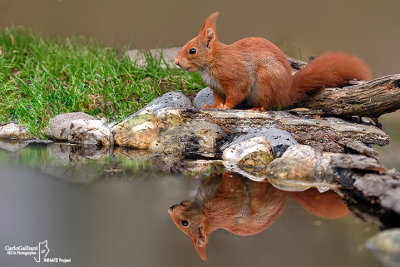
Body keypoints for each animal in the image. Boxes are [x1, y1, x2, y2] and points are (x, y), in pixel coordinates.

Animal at [167, 172, 348, 262]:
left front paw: (225, 168)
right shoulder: (226, 204)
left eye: (184, 223)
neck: (207, 214)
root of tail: (283, 194)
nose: (170, 208)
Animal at [175, 12, 372, 110]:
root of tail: (286, 92)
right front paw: (213, 105)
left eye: (192, 50)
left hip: (265, 82)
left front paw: (225, 107)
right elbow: (218, 98)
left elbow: (236, 93)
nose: (176, 62)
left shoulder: (235, 77)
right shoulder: (216, 87)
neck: (213, 61)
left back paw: (257, 109)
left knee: (268, 105)